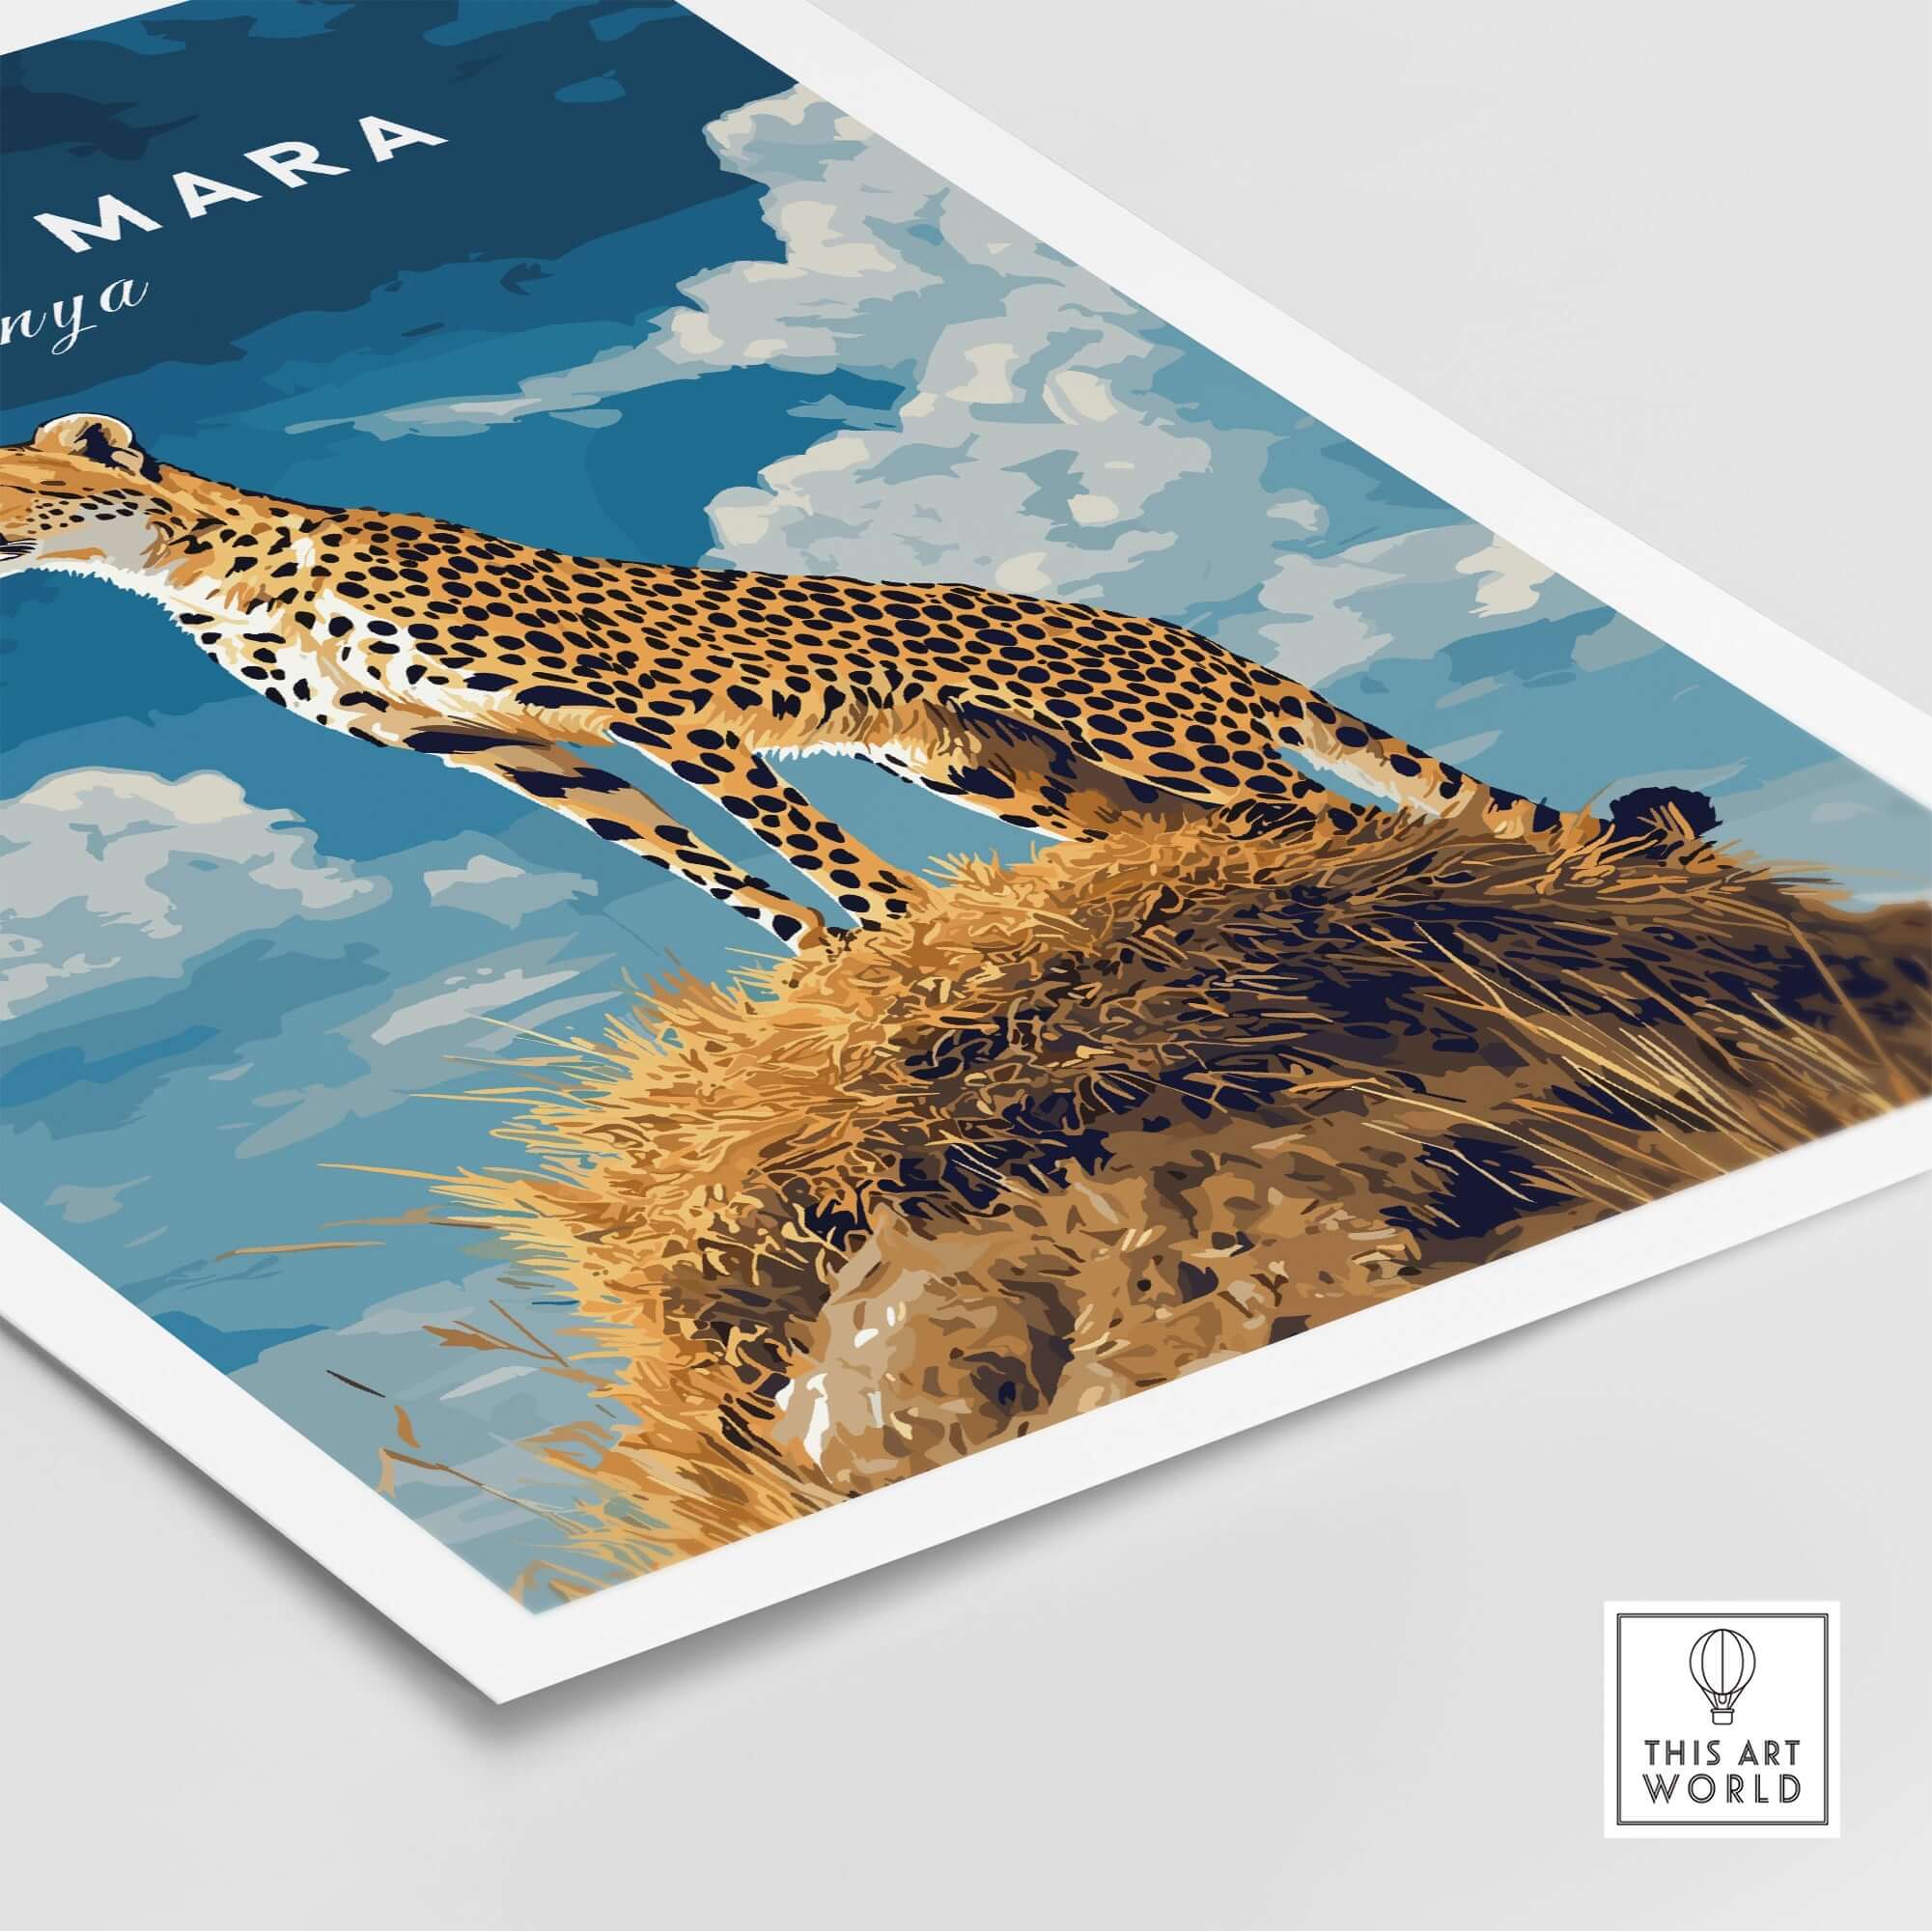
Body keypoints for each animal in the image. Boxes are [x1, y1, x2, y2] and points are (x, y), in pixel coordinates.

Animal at [0, 412, 1714, 951]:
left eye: (23, 481)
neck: (194, 566)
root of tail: (1186, 635)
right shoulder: (514, 754)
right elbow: (691, 865)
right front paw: (821, 966)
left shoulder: (648, 708)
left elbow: (789, 836)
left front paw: (895, 930)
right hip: (1003, 770)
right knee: (1278, 835)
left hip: (1161, 742)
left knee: (1370, 818)